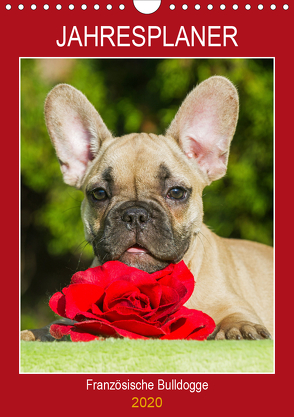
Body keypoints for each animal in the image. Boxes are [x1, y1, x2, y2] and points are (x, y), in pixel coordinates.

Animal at [20, 75, 274, 342]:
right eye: (99, 194)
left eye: (176, 192)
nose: (135, 215)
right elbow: (55, 326)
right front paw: (32, 333)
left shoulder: (235, 304)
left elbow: (236, 316)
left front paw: (239, 328)